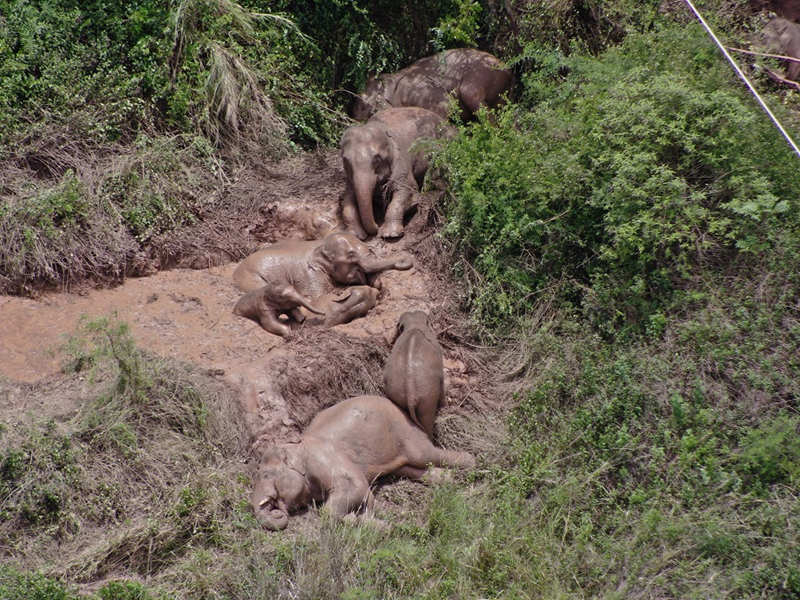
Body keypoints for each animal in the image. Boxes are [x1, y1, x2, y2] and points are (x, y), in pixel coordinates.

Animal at [231, 231, 412, 338]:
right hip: (251, 280)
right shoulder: (312, 274)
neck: (319, 245)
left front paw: (376, 284)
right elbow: (317, 298)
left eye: (369, 249)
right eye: (351, 256)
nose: (405, 260)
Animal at [250, 394, 476, 528]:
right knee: (409, 467)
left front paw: (365, 520)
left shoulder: (323, 458)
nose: (277, 512)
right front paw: (370, 521)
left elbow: (354, 486)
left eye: (266, 474)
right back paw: (447, 480)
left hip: (403, 430)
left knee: (425, 454)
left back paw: (471, 464)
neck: (295, 446)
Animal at [340, 106, 454, 240]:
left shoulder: (401, 161)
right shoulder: (350, 178)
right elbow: (347, 200)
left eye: (377, 159)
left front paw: (390, 235)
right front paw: (355, 235)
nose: (377, 226)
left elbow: (408, 190)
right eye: (346, 160)